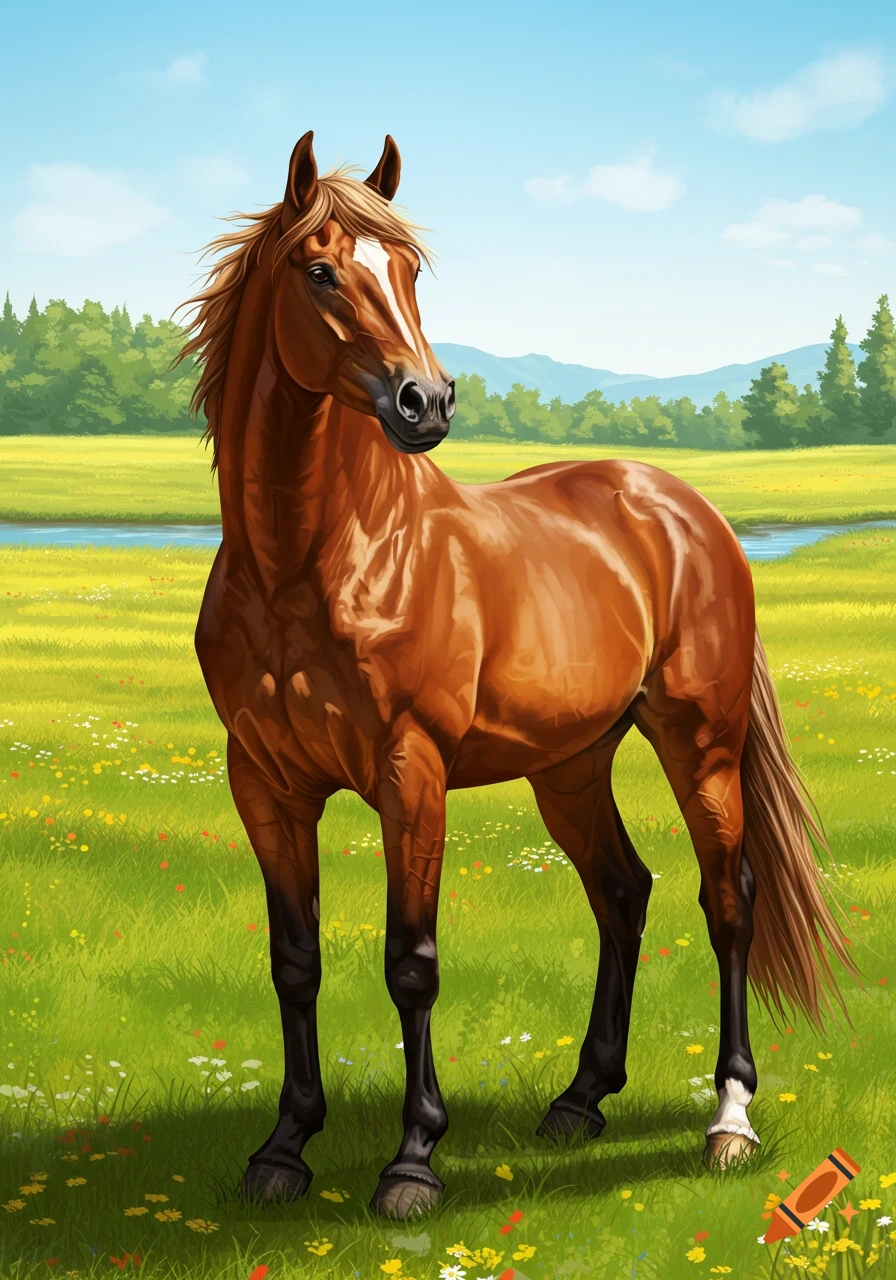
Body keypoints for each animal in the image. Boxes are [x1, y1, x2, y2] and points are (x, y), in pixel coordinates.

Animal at [175, 131, 857, 1220]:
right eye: (319, 271)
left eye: (410, 270)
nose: (425, 401)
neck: (314, 562)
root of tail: (686, 510)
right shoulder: (265, 784)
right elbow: (294, 960)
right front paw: (283, 1148)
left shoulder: (410, 777)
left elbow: (410, 961)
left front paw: (413, 1161)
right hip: (569, 765)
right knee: (623, 890)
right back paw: (579, 1100)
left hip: (699, 745)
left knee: (727, 899)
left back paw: (728, 1119)